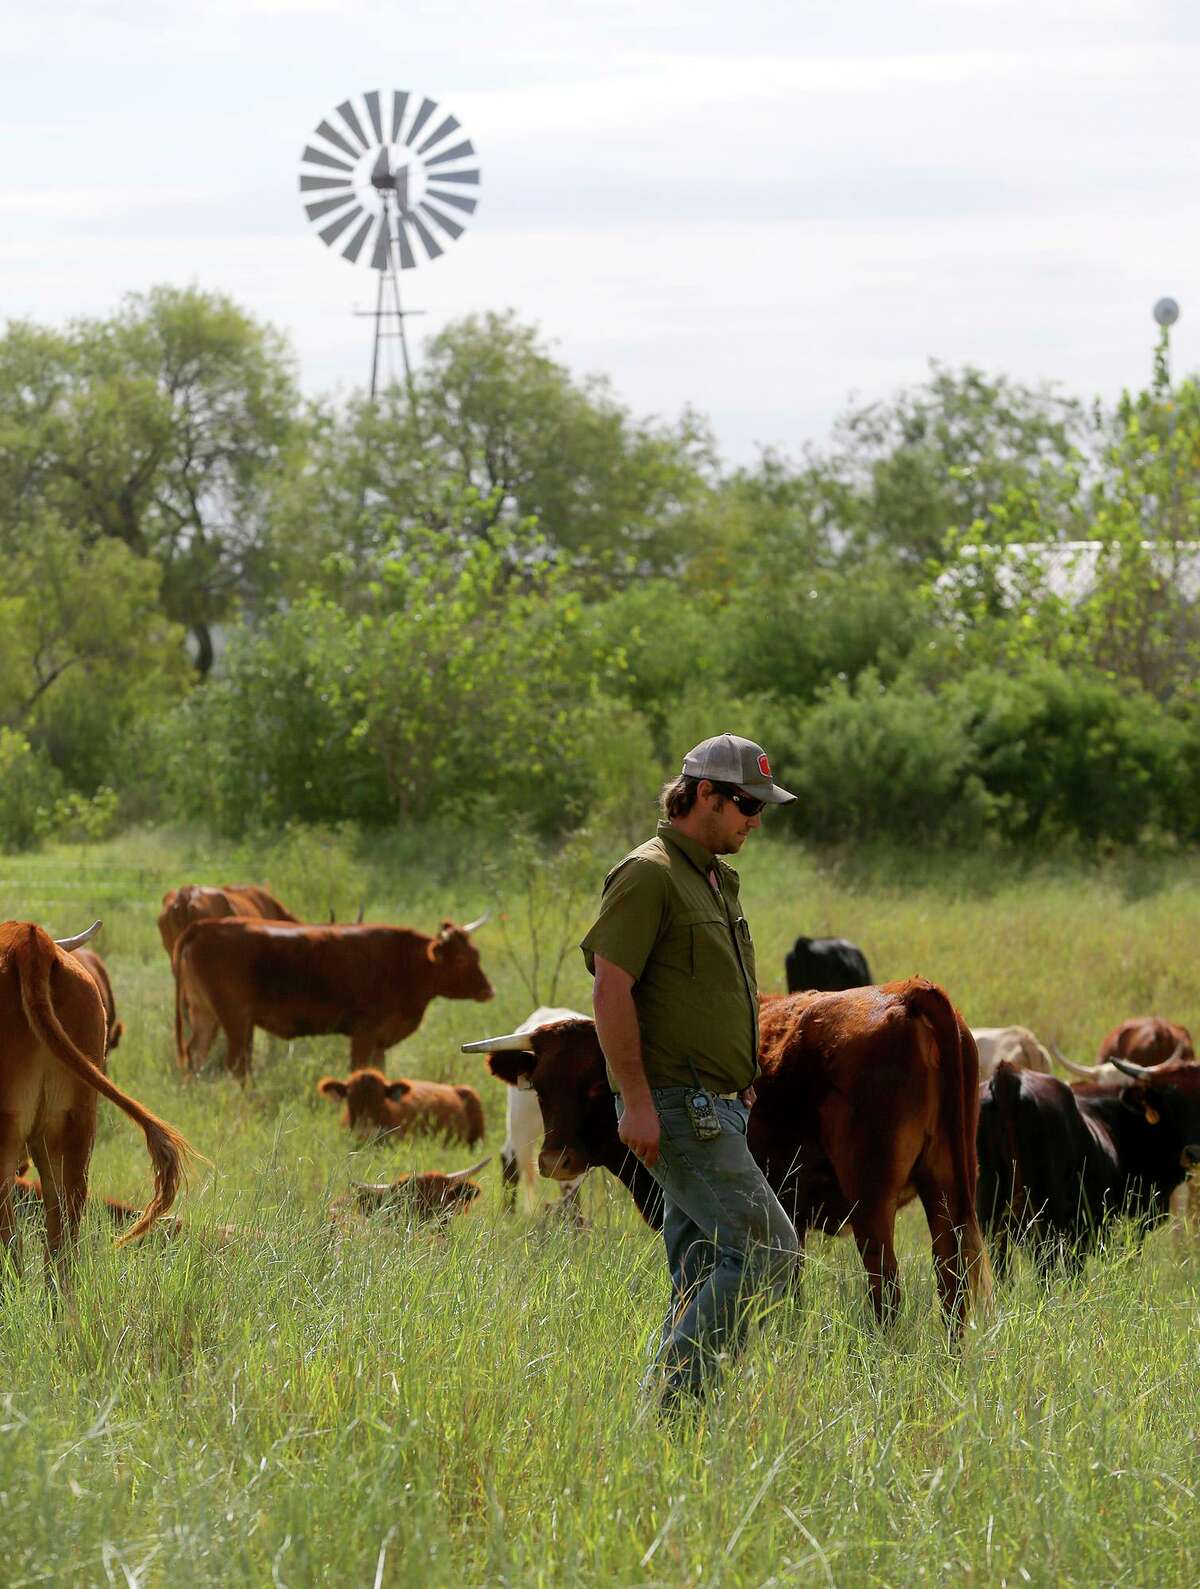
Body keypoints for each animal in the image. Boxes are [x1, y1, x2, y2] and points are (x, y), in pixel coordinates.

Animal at [174, 921, 492, 1080]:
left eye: (476, 954)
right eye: (461, 959)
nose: (489, 991)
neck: (402, 960)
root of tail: (206, 926)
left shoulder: (379, 1041)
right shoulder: (364, 1034)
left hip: (206, 1015)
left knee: (196, 1054)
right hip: (236, 1019)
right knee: (237, 1064)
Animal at [464, 972, 991, 1334]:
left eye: (596, 1084)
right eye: (541, 1086)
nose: (556, 1160)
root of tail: (907, 993)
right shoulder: (789, 1215)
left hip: (872, 1205)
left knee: (887, 1293)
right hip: (947, 1193)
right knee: (952, 1288)